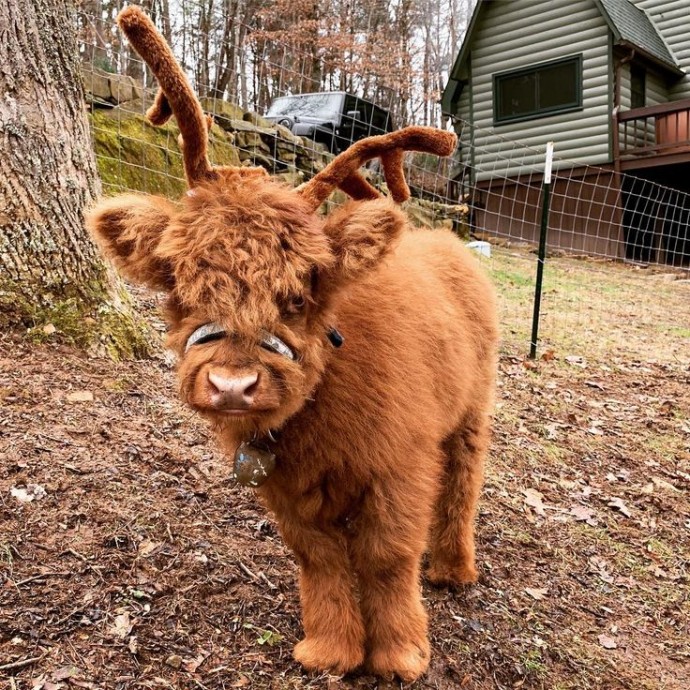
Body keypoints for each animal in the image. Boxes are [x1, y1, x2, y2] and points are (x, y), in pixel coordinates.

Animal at [84, 8, 494, 680]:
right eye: (182, 287)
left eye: (299, 294)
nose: (233, 385)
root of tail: (445, 241)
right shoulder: (286, 489)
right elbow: (318, 558)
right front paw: (329, 650)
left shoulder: (402, 464)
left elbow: (388, 556)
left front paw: (401, 654)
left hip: (471, 408)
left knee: (463, 480)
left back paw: (454, 569)